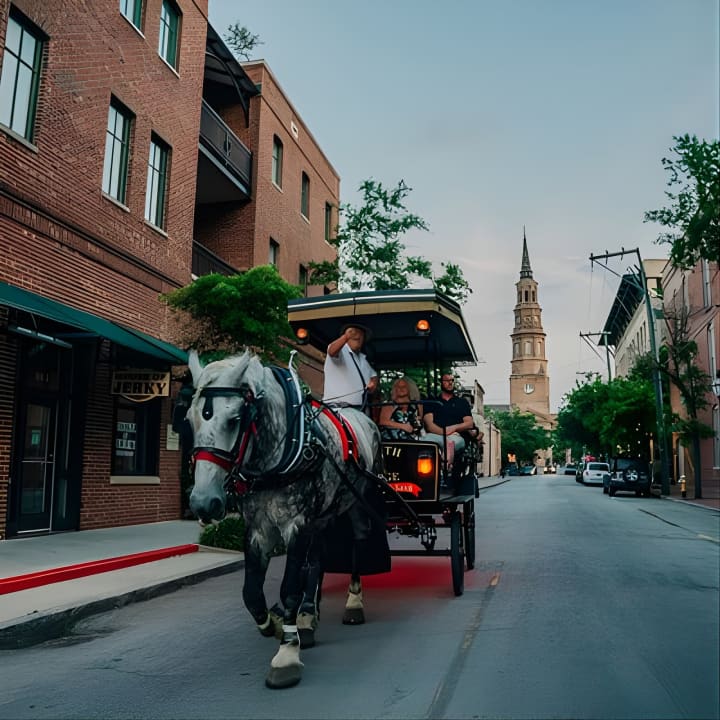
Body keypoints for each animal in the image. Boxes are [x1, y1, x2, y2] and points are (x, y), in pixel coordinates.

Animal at [187, 352, 388, 688]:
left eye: (235, 419)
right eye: (190, 420)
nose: (203, 502)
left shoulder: (297, 524)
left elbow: (289, 587)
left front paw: (287, 653)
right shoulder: (257, 528)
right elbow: (252, 594)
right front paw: (279, 624)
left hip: (356, 502)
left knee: (357, 545)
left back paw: (353, 603)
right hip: (323, 514)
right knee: (318, 556)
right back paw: (308, 614)